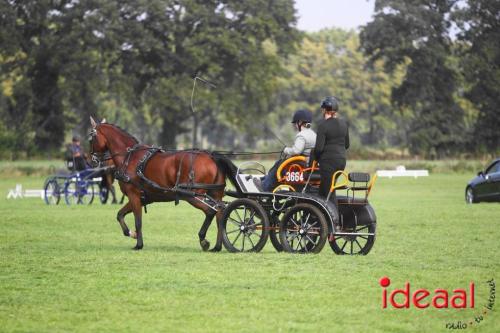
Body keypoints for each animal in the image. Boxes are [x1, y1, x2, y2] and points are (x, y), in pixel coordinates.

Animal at [89, 116, 237, 249]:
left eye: (91, 138)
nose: (93, 160)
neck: (129, 158)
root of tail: (211, 156)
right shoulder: (143, 198)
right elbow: (120, 215)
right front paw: (132, 234)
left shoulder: (134, 195)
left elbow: (138, 221)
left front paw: (138, 244)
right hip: (215, 194)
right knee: (220, 215)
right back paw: (217, 246)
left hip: (192, 196)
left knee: (211, 212)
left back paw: (203, 240)